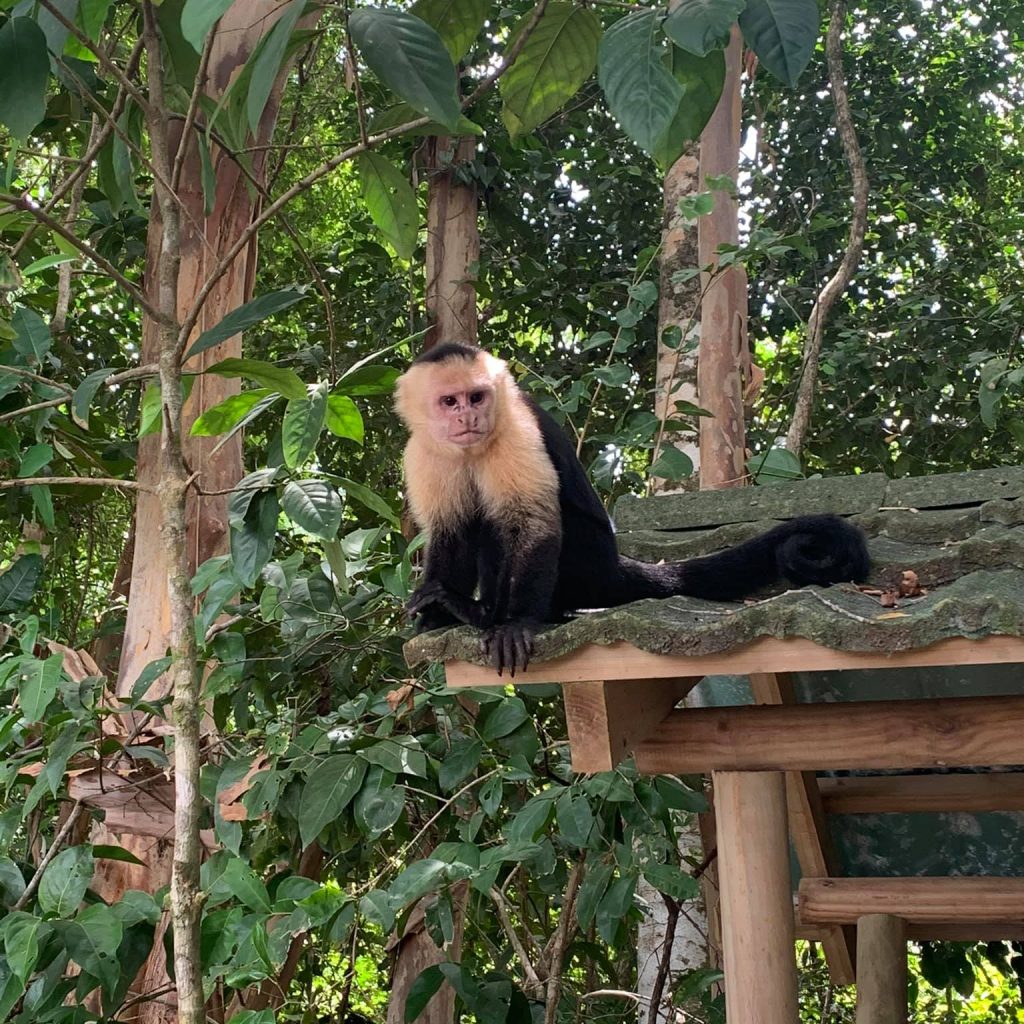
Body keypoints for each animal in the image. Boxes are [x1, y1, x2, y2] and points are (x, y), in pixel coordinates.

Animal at [395, 344, 868, 675]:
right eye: (450, 402)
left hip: (585, 563)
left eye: (476, 397)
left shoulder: (516, 432)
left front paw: (514, 623)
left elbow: (534, 524)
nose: (468, 419)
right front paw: (436, 609)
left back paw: (485, 613)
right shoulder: (421, 452)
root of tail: (611, 564)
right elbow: (450, 529)